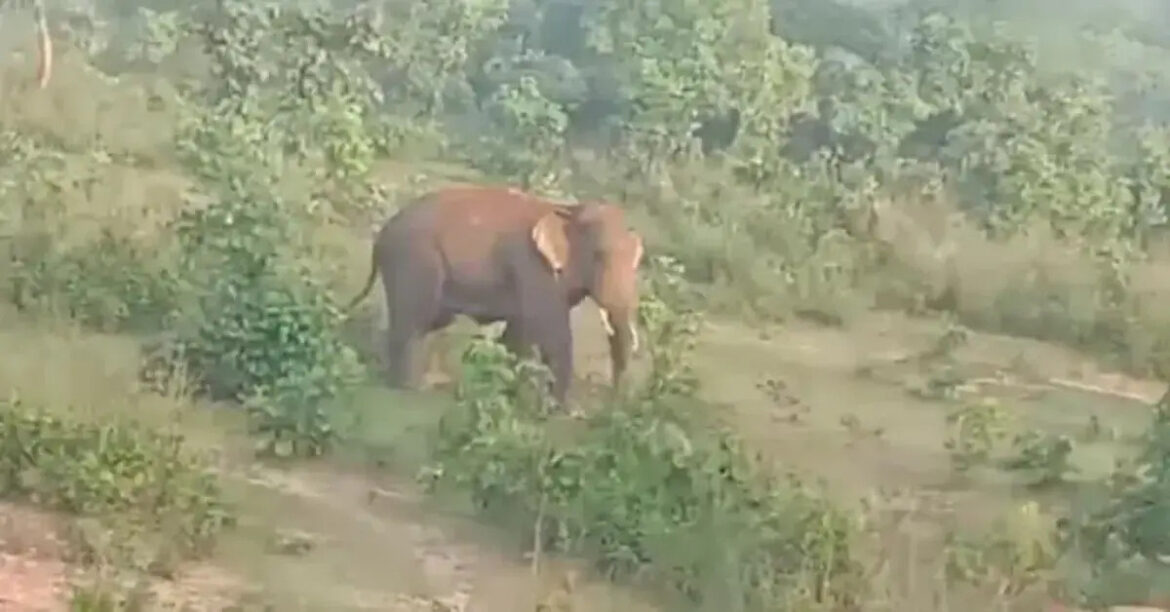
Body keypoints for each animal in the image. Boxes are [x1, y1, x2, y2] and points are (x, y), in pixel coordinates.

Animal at [344, 184, 645, 404]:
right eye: (600, 256)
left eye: (637, 261)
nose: (614, 401)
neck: (566, 211)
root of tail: (381, 236)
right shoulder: (532, 267)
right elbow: (551, 331)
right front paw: (559, 409)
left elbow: (518, 331)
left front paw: (510, 391)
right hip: (414, 260)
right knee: (413, 321)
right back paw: (410, 389)